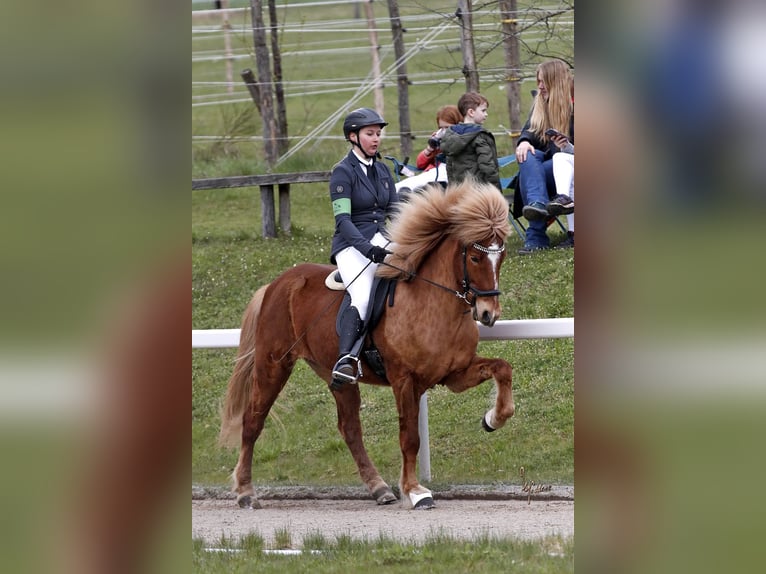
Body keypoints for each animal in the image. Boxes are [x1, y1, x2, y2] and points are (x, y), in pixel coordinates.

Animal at [220, 181, 516, 512]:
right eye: (476, 258)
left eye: (501, 256)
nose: (489, 314)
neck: (432, 303)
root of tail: (276, 284)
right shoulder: (404, 380)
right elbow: (409, 437)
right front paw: (415, 491)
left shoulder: (455, 374)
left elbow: (503, 368)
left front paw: (493, 419)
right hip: (273, 365)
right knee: (252, 421)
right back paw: (245, 492)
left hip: (336, 376)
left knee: (350, 429)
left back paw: (379, 488)